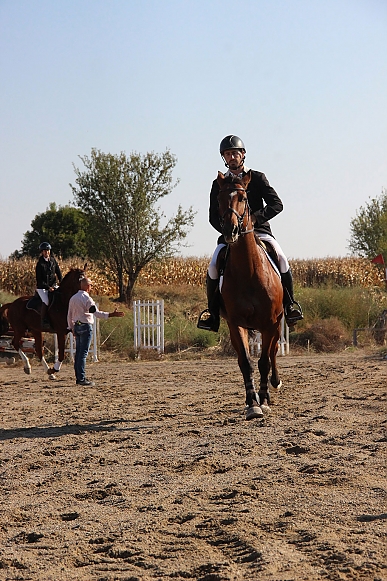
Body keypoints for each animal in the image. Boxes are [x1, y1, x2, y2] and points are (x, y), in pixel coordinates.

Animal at [217, 170, 284, 420]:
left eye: (243, 198)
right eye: (218, 199)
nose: (230, 231)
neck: (249, 271)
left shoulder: (269, 323)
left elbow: (264, 361)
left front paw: (263, 401)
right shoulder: (236, 323)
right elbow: (246, 362)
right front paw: (252, 404)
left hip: (277, 324)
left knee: (273, 352)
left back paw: (273, 384)